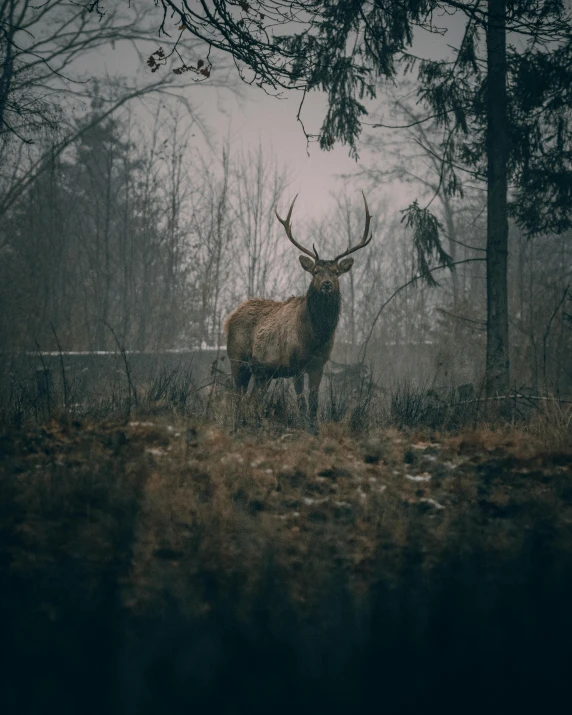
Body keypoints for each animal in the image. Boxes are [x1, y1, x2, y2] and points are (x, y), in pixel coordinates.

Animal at [226, 192, 374, 426]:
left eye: (335, 272)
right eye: (315, 272)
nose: (326, 284)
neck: (315, 336)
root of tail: (228, 319)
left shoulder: (318, 364)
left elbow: (313, 404)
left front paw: (313, 427)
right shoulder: (295, 364)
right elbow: (302, 401)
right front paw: (302, 425)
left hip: (262, 373)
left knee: (252, 400)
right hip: (238, 360)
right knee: (237, 397)